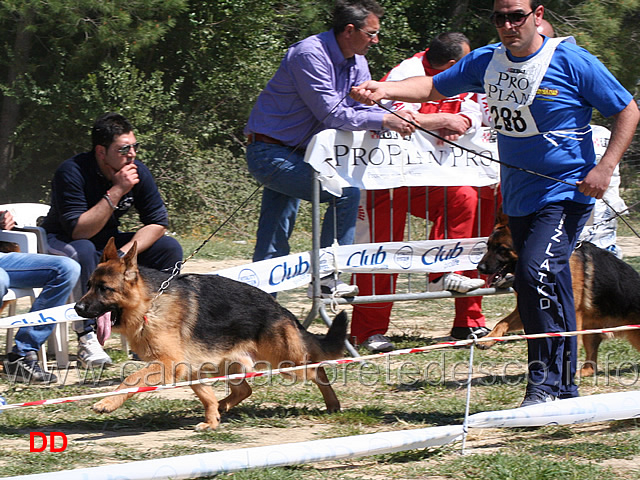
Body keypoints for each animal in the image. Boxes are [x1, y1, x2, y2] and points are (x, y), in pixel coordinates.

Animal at [77, 240, 352, 432]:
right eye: (88, 285)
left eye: (104, 289)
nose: (77, 309)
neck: (148, 305)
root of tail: (282, 310)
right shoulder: (188, 368)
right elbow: (205, 394)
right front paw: (211, 421)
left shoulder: (168, 364)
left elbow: (131, 379)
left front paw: (107, 403)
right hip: (228, 364)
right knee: (244, 391)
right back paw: (222, 406)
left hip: (287, 365)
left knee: (318, 369)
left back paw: (333, 403)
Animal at [478, 212, 640, 376]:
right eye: (488, 246)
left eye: (502, 249)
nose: (480, 268)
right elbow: (501, 323)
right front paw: (487, 339)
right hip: (591, 331)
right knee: (591, 366)